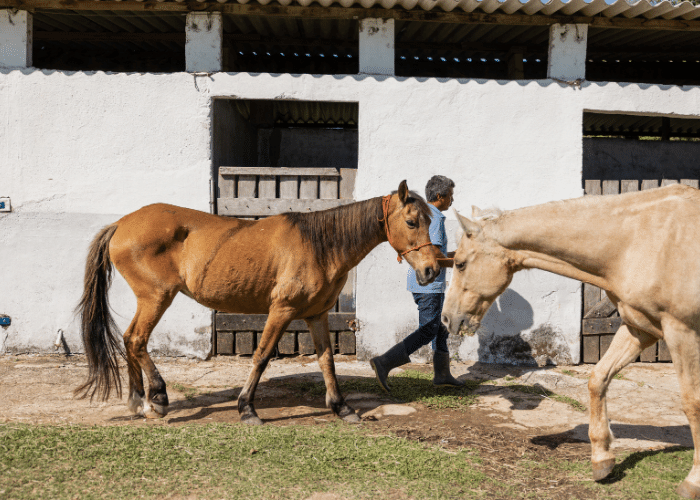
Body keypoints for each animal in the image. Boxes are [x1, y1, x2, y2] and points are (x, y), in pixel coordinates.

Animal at [75, 182, 438, 424]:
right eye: (411, 222)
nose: (431, 270)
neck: (319, 245)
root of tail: (121, 223)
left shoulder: (317, 315)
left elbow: (326, 360)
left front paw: (342, 407)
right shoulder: (282, 311)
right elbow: (262, 356)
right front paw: (246, 408)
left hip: (150, 300)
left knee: (128, 339)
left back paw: (139, 401)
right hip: (156, 297)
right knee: (137, 340)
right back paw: (159, 397)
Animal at [440, 185, 700, 500]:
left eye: (460, 263)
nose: (446, 319)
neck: (639, 240)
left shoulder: (682, 332)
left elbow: (693, 403)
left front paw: (694, 480)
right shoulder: (640, 329)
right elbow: (598, 379)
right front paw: (602, 459)